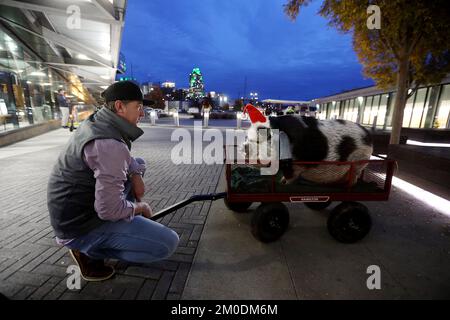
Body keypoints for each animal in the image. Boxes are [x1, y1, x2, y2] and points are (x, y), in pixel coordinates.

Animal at [244, 104, 374, 185]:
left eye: (267, 135)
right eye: (248, 136)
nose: (245, 147)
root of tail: (367, 134)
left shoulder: (295, 164)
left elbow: (290, 176)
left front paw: (283, 183)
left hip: (358, 162)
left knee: (354, 177)